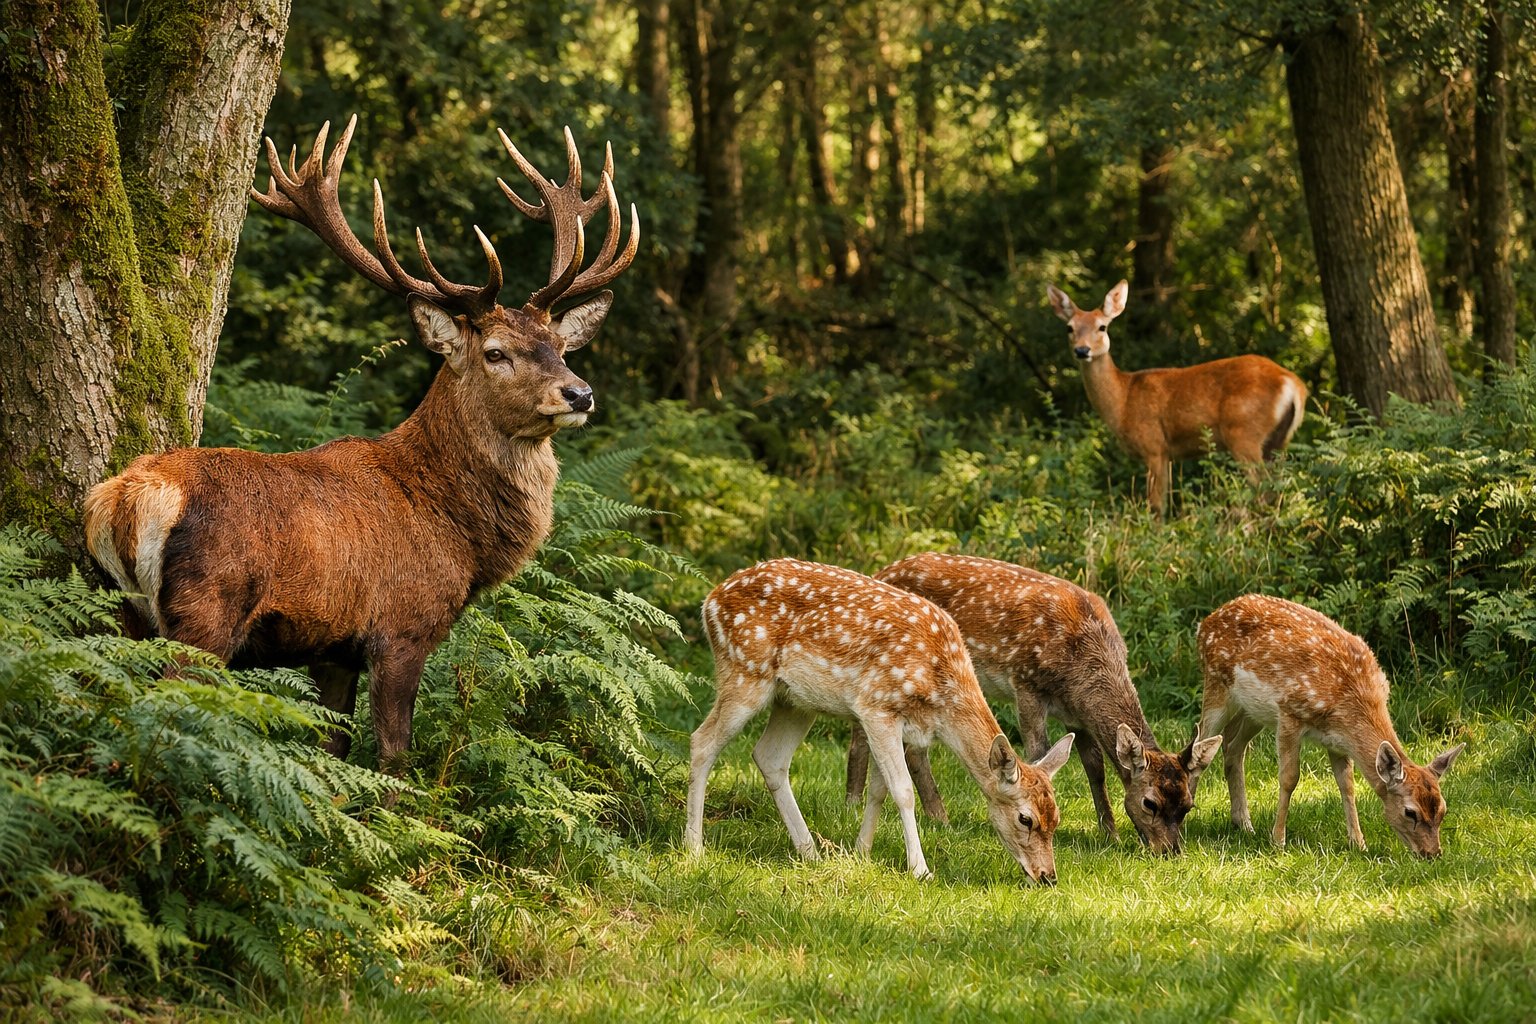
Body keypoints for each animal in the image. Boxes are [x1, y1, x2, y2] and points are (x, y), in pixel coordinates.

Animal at [83, 115, 638, 770]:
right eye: (496, 353)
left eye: (560, 345)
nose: (579, 394)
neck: (454, 529)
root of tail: (123, 500)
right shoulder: (402, 626)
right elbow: (394, 756)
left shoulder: (334, 649)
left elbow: (334, 745)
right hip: (205, 610)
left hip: (120, 608)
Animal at [684, 558, 1076, 883]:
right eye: (1026, 818)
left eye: (1056, 818)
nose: (1048, 876)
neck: (940, 692)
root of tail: (710, 600)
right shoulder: (876, 707)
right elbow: (902, 791)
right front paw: (920, 870)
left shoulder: (901, 726)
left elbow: (879, 790)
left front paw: (861, 852)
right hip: (744, 671)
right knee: (701, 741)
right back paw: (694, 847)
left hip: (795, 701)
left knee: (769, 757)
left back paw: (810, 852)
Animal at [846, 553, 1222, 855]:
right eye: (1149, 803)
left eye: (1188, 805)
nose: (1170, 852)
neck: (1080, 665)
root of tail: (882, 570)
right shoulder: (1026, 685)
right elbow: (1038, 751)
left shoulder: (1077, 713)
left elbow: (1095, 767)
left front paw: (1110, 834)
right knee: (864, 736)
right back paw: (861, 804)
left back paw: (937, 816)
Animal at [1046, 280, 1307, 516]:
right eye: (1069, 328)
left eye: (1102, 327)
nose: (1082, 350)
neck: (1123, 400)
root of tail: (1293, 384)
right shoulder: (1169, 454)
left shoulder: (1154, 445)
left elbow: (1156, 507)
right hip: (1277, 441)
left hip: (1244, 432)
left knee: (1262, 488)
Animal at [1196, 594, 1465, 858]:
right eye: (1410, 812)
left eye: (1443, 810)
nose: (1432, 854)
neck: (1350, 702)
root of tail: (1205, 623)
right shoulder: (1289, 713)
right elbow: (1289, 778)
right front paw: (1278, 841)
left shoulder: (1338, 741)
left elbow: (1347, 785)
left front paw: (1358, 843)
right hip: (1217, 686)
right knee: (1201, 741)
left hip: (1252, 711)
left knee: (1232, 746)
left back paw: (1243, 824)